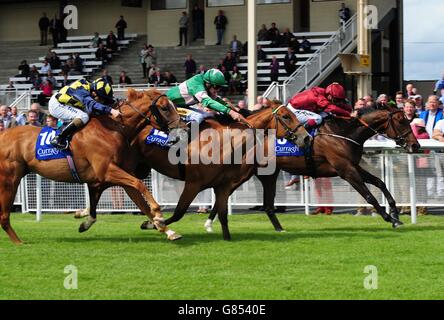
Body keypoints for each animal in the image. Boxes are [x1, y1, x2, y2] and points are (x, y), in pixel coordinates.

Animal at [0, 89, 185, 244]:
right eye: (165, 108)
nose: (181, 131)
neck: (114, 129)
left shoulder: (117, 176)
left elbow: (140, 202)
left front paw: (168, 231)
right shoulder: (107, 171)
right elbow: (140, 185)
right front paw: (158, 213)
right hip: (9, 180)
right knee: (4, 216)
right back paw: (18, 242)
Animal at [77, 100, 308, 240]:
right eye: (286, 116)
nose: (306, 137)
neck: (226, 143)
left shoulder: (223, 184)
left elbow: (222, 214)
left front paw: (225, 236)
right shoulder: (194, 183)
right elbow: (179, 211)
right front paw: (154, 223)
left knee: (100, 185)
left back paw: (85, 216)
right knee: (101, 184)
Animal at [205, 104, 420, 232]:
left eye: (408, 119)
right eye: (401, 120)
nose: (415, 145)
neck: (344, 133)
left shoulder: (352, 166)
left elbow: (380, 182)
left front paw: (396, 213)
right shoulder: (345, 170)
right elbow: (369, 195)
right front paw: (388, 217)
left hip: (268, 174)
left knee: (266, 205)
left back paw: (279, 229)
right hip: (244, 172)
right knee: (225, 193)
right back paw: (209, 222)